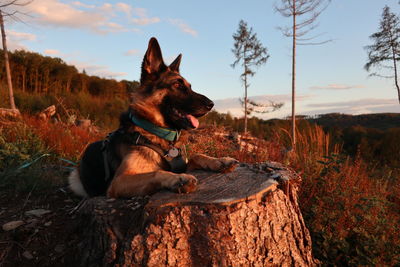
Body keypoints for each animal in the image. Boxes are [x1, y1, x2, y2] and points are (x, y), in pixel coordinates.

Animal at [69, 37, 238, 199]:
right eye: (177, 85)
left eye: (190, 86)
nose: (211, 104)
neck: (157, 132)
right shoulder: (119, 182)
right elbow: (156, 173)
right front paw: (179, 179)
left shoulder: (182, 163)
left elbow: (196, 155)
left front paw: (220, 160)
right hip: (74, 179)